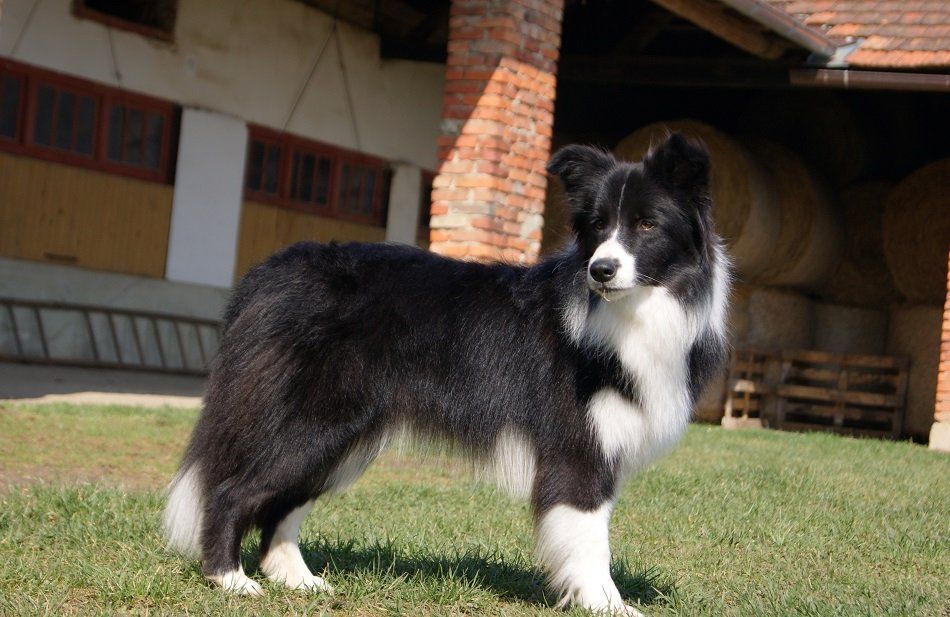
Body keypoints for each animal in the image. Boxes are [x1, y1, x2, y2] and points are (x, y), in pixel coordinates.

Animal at [163, 132, 730, 615]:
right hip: (315, 420)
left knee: (282, 504)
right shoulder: (578, 449)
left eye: (647, 225)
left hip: (341, 437)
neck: (632, 312)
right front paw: (607, 604)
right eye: (596, 226)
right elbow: (590, 538)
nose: (601, 270)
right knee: (233, 490)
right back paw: (231, 580)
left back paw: (297, 580)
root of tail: (268, 273)